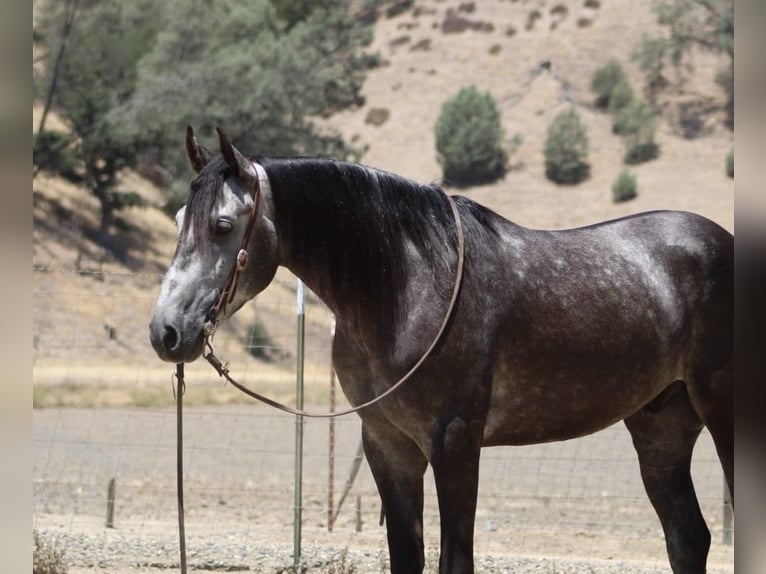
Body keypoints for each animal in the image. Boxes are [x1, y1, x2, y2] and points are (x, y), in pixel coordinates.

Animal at [149, 127, 733, 574]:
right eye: (178, 221)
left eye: (222, 225)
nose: (165, 332)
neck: (407, 284)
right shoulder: (388, 446)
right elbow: (407, 558)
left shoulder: (454, 444)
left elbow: (456, 561)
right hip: (661, 426)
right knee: (688, 538)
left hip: (722, 415)